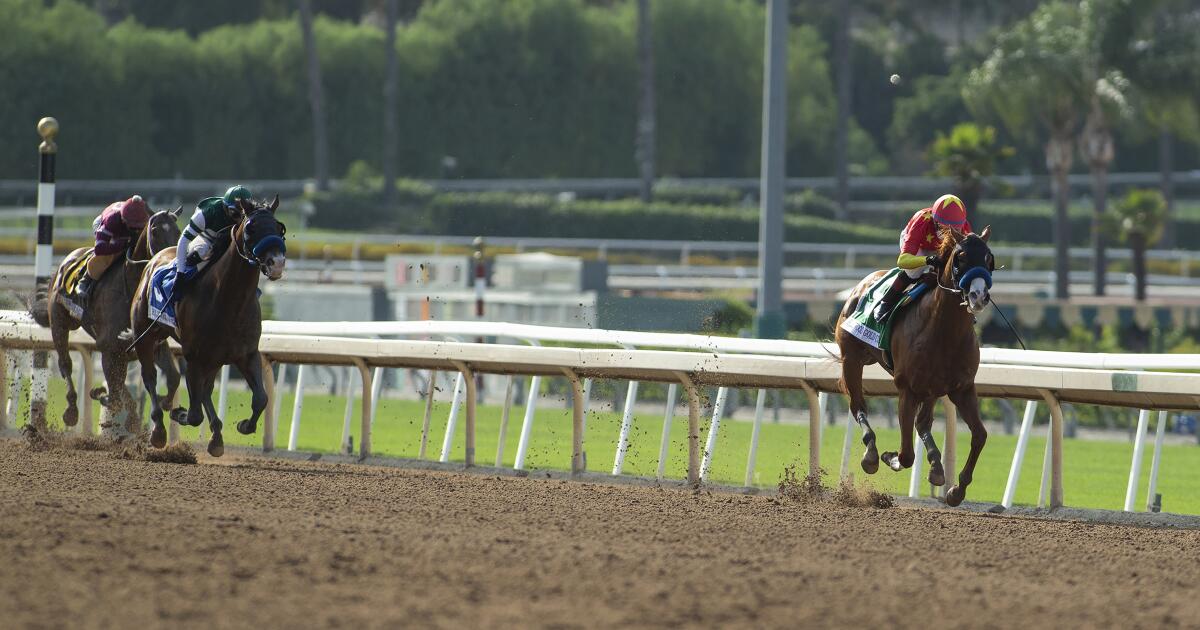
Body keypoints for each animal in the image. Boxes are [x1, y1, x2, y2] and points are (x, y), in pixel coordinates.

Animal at [28, 206, 184, 432]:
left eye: (178, 231)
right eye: (155, 231)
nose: (172, 259)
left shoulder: (152, 343)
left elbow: (173, 378)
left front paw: (164, 403)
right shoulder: (109, 347)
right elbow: (118, 392)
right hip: (60, 323)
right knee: (66, 364)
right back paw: (72, 411)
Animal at [127, 194, 286, 453]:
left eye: (280, 228)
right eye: (250, 227)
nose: (277, 262)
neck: (229, 300)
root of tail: (156, 257)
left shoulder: (247, 353)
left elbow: (261, 399)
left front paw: (243, 425)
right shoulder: (193, 355)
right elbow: (193, 414)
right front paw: (178, 413)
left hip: (214, 356)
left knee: (206, 390)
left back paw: (216, 437)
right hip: (146, 336)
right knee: (150, 377)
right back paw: (159, 429)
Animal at [835, 225, 993, 506]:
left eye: (988, 258)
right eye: (961, 257)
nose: (979, 296)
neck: (944, 331)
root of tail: (861, 285)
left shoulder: (962, 388)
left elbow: (979, 435)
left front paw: (956, 490)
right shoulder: (907, 389)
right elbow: (906, 454)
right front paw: (889, 457)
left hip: (931, 388)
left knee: (923, 423)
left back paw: (937, 467)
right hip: (851, 360)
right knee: (858, 407)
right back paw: (871, 454)